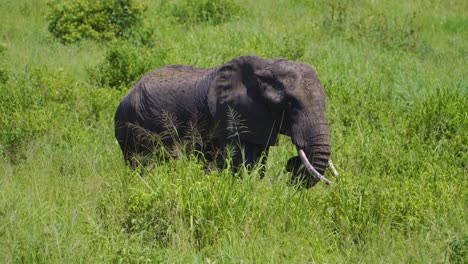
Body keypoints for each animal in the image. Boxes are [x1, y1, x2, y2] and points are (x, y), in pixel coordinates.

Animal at [116, 54, 336, 187]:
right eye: (288, 104)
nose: (291, 165)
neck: (265, 67)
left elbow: (260, 162)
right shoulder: (231, 116)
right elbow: (243, 164)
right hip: (131, 128)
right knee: (139, 164)